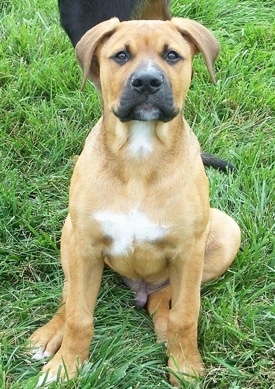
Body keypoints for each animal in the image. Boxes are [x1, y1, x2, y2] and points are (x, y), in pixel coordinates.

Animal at [30, 17, 242, 384]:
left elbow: (186, 314)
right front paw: (66, 366)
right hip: (70, 235)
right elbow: (79, 316)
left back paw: (165, 330)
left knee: (165, 297)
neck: (139, 156)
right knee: (70, 296)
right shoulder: (84, 245)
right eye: (121, 56)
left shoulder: (188, 251)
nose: (146, 82)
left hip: (227, 232)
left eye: (172, 55)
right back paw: (48, 335)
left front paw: (185, 367)